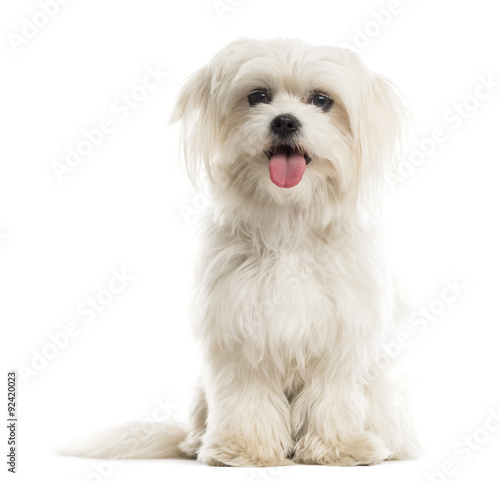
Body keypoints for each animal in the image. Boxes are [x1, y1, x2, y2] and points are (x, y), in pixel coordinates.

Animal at [64, 37, 420, 464]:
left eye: (321, 100)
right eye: (258, 96)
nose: (285, 121)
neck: (289, 225)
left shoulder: (341, 340)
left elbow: (332, 396)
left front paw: (338, 448)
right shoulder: (240, 334)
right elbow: (248, 397)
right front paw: (244, 448)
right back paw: (199, 442)